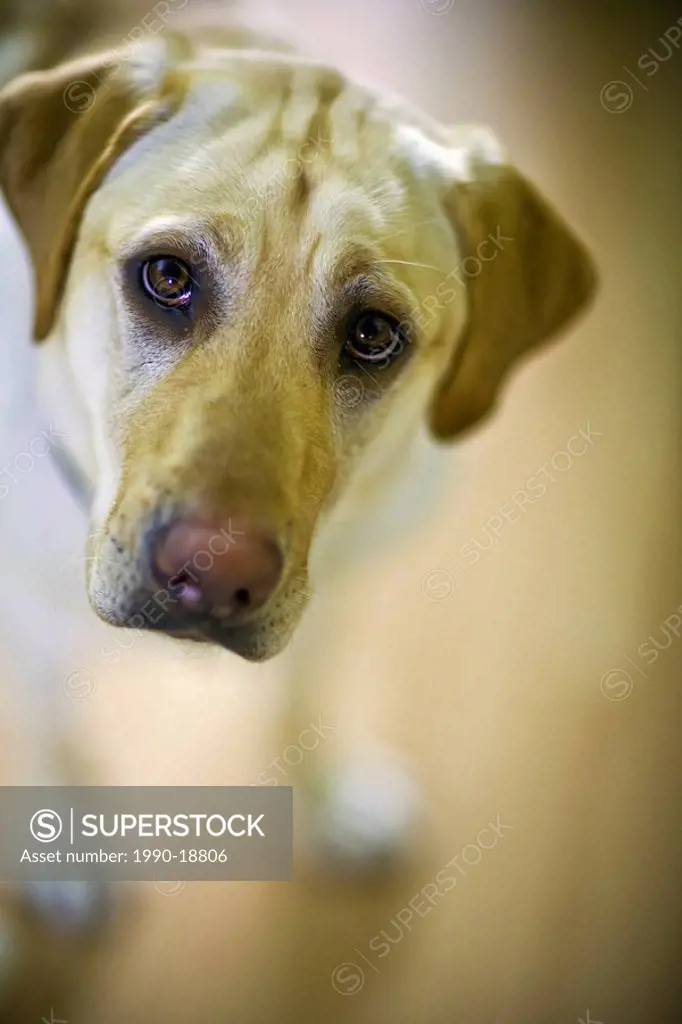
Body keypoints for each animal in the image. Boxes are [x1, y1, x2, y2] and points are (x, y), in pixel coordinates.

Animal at [0, 4, 593, 950]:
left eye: (374, 334)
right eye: (167, 277)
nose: (213, 574)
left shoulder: (339, 592)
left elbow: (306, 696)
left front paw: (329, 797)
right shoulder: (23, 620)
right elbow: (52, 724)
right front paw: (66, 851)